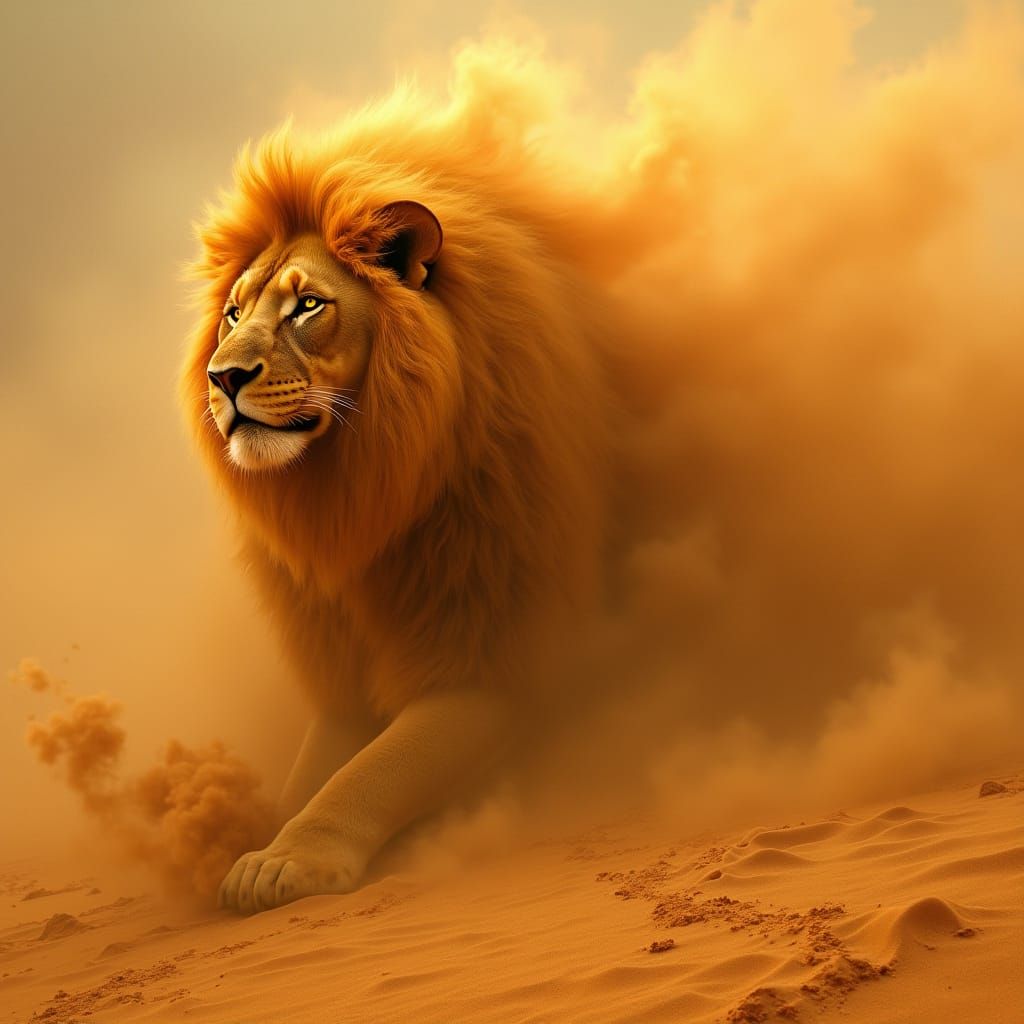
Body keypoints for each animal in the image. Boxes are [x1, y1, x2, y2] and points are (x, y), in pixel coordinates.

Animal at [180, 100, 615, 913]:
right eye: (231, 315)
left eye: (307, 306)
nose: (221, 379)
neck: (360, 493)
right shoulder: (341, 672)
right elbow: (313, 772)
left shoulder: (495, 652)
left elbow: (373, 770)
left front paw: (283, 862)